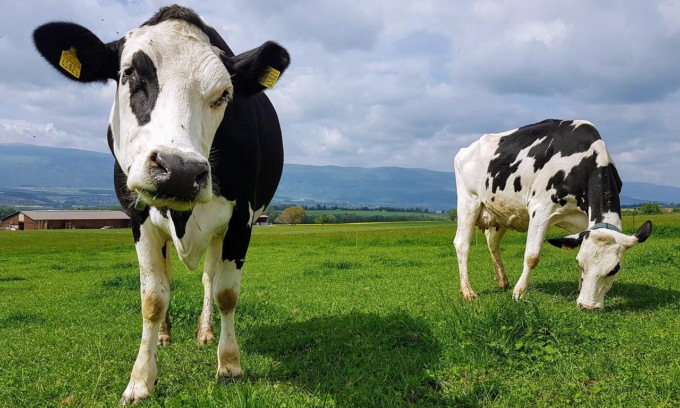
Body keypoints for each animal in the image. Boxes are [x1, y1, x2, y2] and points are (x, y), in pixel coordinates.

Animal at [33, 5, 290, 403]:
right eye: (129, 74)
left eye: (224, 94)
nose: (179, 171)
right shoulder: (137, 217)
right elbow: (153, 298)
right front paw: (140, 380)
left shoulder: (241, 219)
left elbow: (226, 293)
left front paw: (229, 365)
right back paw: (167, 335)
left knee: (208, 278)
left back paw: (205, 333)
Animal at [453, 119, 652, 310]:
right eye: (581, 264)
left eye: (614, 269)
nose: (588, 306)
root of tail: (465, 150)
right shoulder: (540, 209)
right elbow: (532, 256)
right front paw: (519, 293)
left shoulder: (583, 222)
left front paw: (579, 289)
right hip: (469, 202)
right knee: (462, 244)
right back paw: (468, 291)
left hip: (500, 213)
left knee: (492, 243)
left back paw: (503, 281)